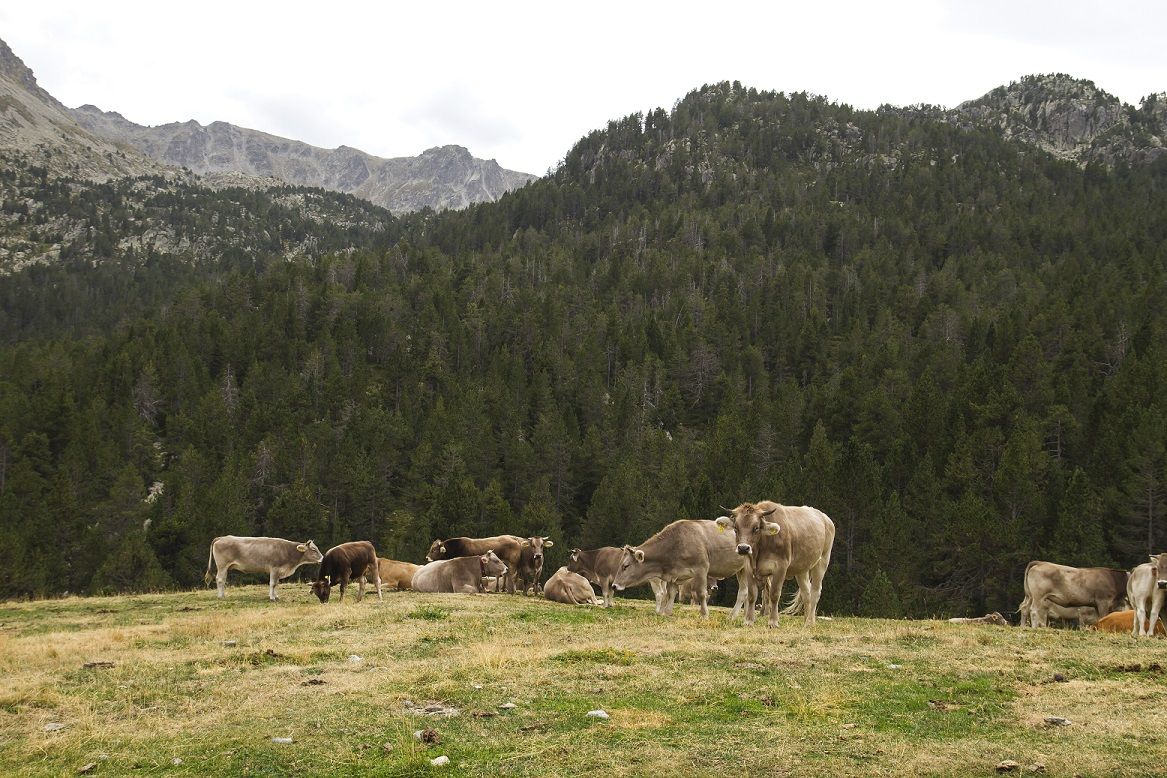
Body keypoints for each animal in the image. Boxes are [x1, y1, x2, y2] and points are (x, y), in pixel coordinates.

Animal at [612, 519, 754, 619]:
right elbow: (671, 594)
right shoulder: (674, 575)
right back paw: (735, 616)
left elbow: (702, 593)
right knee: (743, 593)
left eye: (625, 566)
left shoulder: (701, 569)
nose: (614, 585)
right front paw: (666, 612)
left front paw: (704, 615)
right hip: (741, 570)